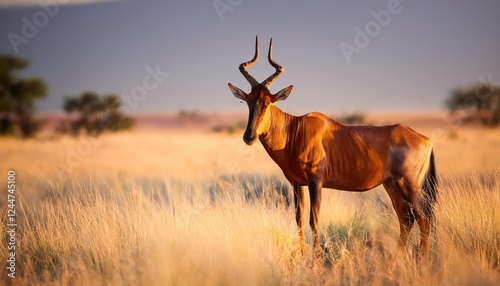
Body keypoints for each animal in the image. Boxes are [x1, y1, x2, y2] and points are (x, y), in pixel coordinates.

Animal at [228, 35, 438, 256]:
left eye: (269, 102)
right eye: (249, 101)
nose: (249, 136)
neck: (296, 129)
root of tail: (426, 140)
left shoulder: (316, 181)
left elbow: (314, 220)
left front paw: (317, 259)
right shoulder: (296, 183)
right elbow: (299, 218)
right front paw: (303, 256)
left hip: (409, 185)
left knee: (423, 218)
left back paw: (421, 260)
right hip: (391, 185)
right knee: (406, 219)